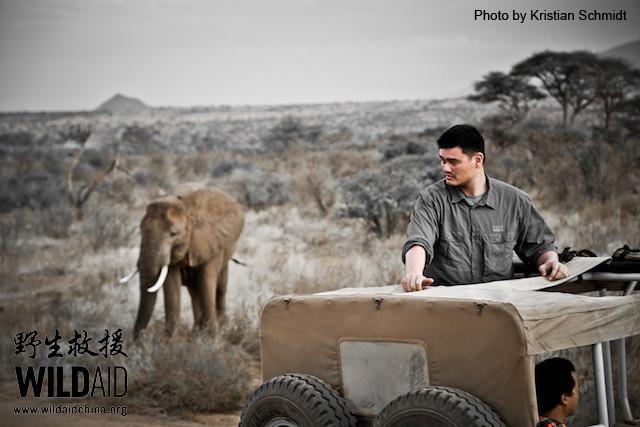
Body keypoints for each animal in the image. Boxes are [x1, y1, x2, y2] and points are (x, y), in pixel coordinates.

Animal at [127, 189, 245, 340]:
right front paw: (170, 341)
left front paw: (211, 339)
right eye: (140, 231)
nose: (138, 339)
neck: (186, 207)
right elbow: (172, 285)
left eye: (173, 234)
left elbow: (206, 281)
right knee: (194, 291)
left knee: (221, 285)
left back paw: (221, 324)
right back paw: (197, 330)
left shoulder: (211, 242)